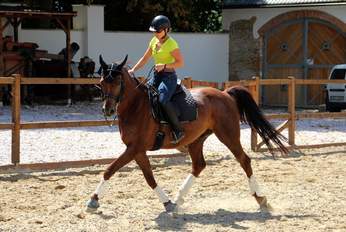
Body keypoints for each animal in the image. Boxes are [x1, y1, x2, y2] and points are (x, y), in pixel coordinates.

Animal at [85, 55, 288, 213]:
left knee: (244, 160)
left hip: (228, 136)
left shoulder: (134, 148)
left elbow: (110, 169)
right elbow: (149, 178)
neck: (136, 107)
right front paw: (167, 203)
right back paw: (178, 199)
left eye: (117, 82)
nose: (108, 110)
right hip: (197, 139)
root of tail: (225, 94)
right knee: (198, 165)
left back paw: (261, 199)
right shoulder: (138, 150)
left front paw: (93, 200)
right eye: (102, 83)